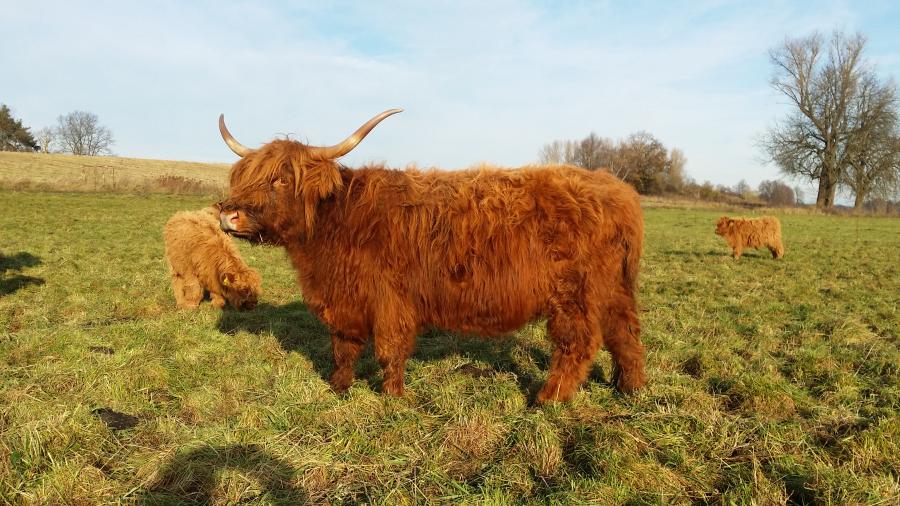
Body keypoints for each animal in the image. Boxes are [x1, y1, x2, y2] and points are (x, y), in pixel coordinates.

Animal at [214, 110, 644, 404]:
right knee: (625, 332)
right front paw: (338, 387)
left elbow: (389, 350)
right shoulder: (344, 300)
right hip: (612, 290)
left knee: (579, 342)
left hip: (574, 295)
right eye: (245, 177)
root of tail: (615, 188)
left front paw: (393, 396)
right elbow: (344, 347)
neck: (335, 223)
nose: (228, 214)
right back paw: (630, 387)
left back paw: (547, 398)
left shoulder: (390, 300)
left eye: (282, 179)